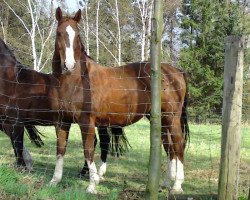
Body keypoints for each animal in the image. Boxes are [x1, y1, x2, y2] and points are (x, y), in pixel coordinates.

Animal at [51, 7, 189, 194]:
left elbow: (88, 150)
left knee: (178, 146)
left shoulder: (86, 122)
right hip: (162, 121)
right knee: (169, 148)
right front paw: (55, 180)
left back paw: (177, 185)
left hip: (172, 118)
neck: (78, 80)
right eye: (59, 33)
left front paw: (92, 184)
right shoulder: (62, 122)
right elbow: (60, 149)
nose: (69, 65)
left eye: (77, 35)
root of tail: (176, 71)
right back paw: (166, 183)